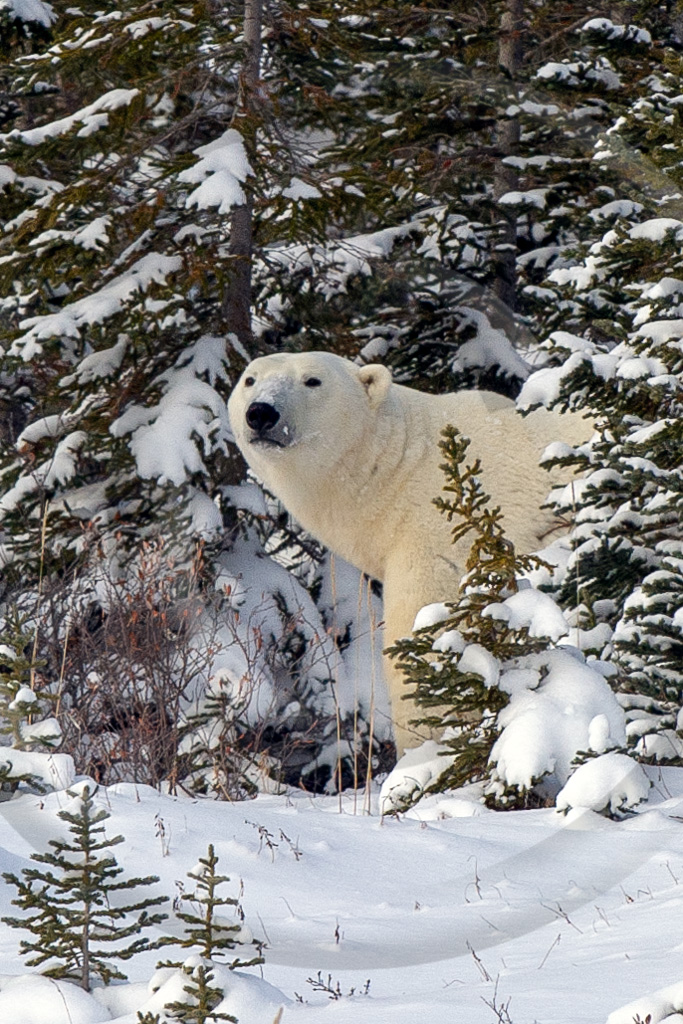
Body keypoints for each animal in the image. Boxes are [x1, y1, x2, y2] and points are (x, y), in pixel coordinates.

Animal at [229, 352, 589, 753]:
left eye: (312, 380)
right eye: (250, 380)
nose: (261, 413)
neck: (399, 462)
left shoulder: (438, 536)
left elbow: (426, 633)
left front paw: (424, 743)